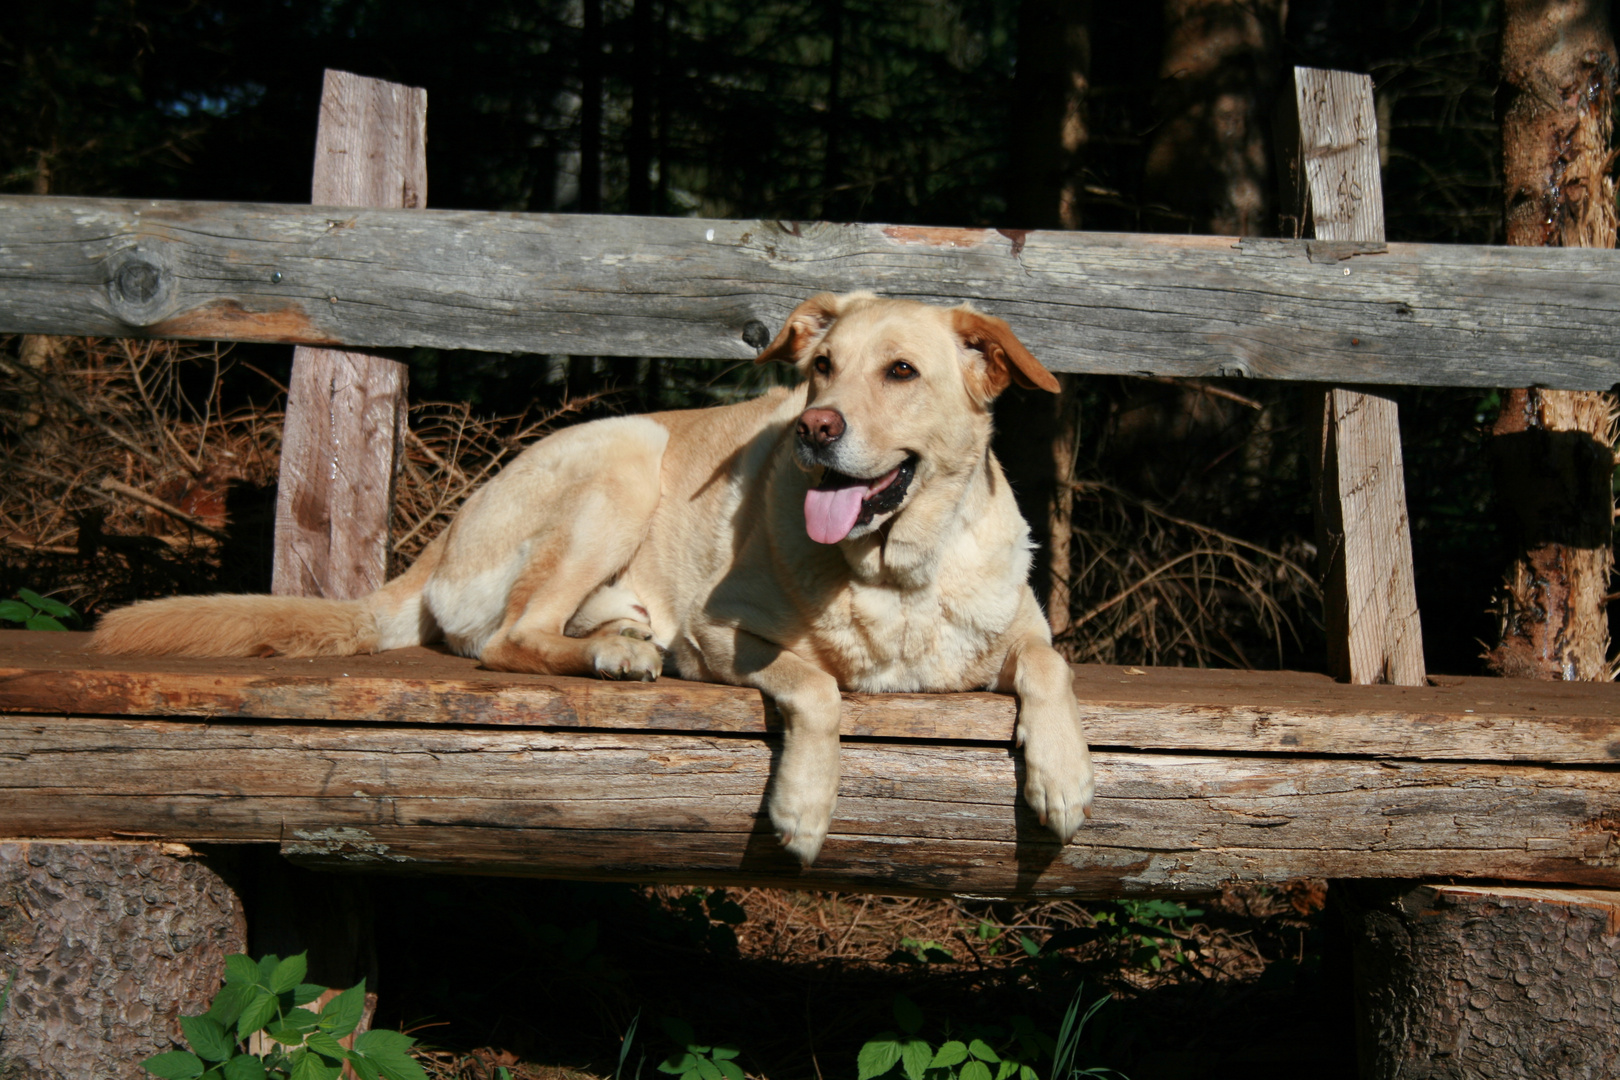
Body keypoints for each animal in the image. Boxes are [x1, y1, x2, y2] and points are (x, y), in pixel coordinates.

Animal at [94, 291, 1095, 867]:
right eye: (821, 368)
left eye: (901, 371)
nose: (815, 428)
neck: (895, 572)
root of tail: (442, 537)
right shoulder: (724, 631)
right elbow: (816, 686)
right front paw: (804, 807)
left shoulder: (1016, 628)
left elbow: (1053, 665)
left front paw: (1064, 775)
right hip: (624, 457)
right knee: (508, 642)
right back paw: (620, 656)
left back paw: (617, 635)